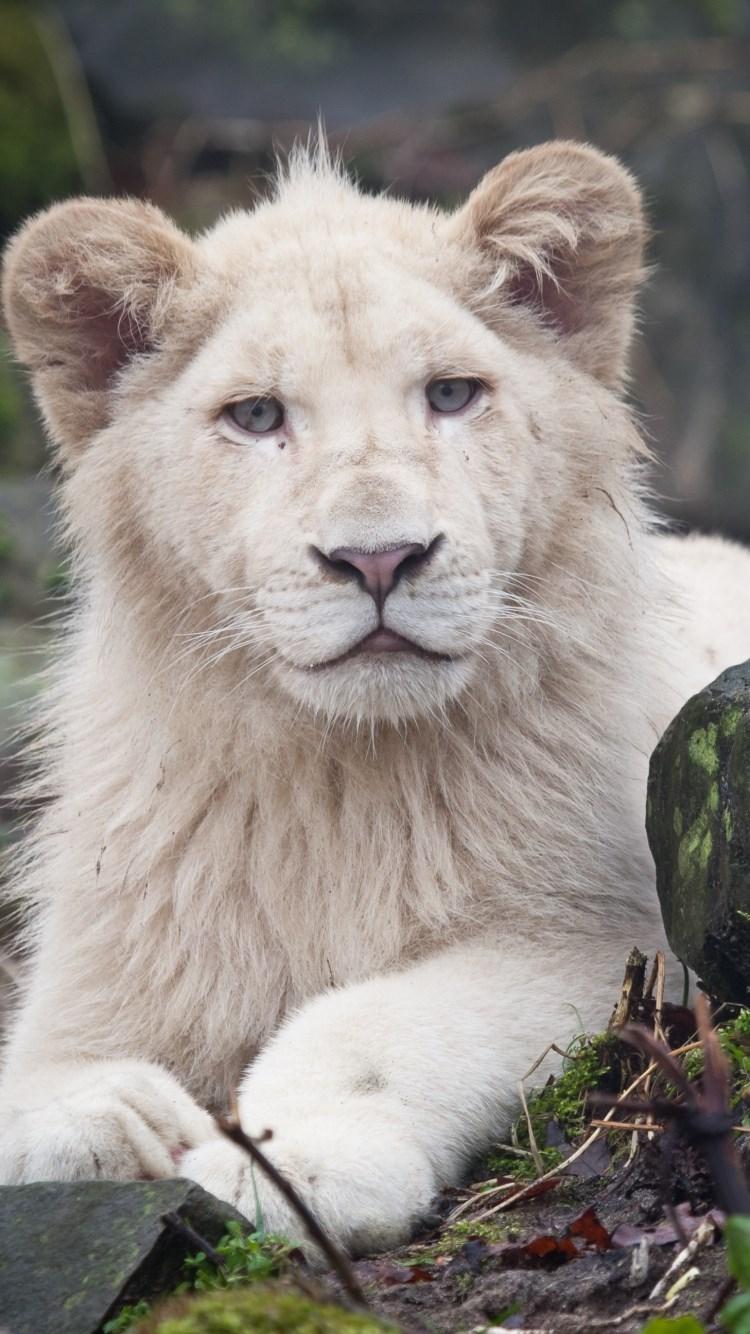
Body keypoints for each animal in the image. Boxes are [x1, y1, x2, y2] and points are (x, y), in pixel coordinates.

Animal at [1, 138, 747, 1248]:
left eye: (450, 394)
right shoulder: (108, 959)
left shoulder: (613, 937)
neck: (341, 775)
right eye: (256, 415)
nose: (380, 557)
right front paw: (100, 1110)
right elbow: (38, 1068)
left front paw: (295, 1156)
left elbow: (379, 1018)